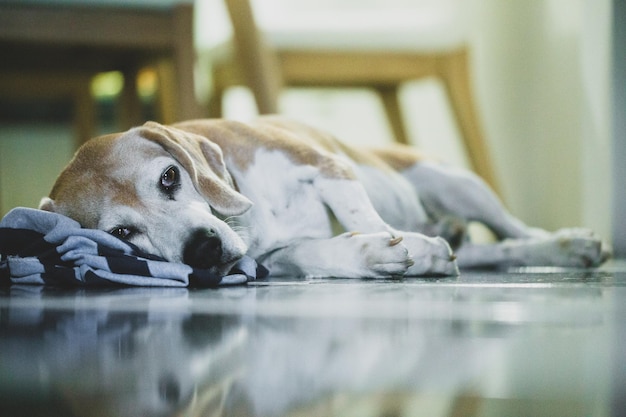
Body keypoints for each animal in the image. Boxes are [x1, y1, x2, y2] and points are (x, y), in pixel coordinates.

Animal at [37, 117, 604, 278]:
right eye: (122, 232)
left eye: (170, 178)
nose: (202, 250)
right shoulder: (278, 257)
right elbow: (319, 252)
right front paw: (376, 254)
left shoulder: (327, 168)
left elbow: (364, 215)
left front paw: (405, 247)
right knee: (502, 249)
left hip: (460, 185)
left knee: (519, 230)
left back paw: (569, 243)